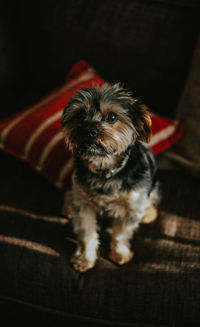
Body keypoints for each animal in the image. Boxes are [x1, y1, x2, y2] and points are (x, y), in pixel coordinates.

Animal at [61, 83, 160, 272]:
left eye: (112, 117)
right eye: (80, 115)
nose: (90, 131)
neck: (105, 171)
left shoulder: (131, 207)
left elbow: (121, 233)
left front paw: (120, 253)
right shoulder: (84, 204)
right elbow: (86, 233)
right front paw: (84, 259)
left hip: (154, 186)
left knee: (153, 198)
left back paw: (148, 213)